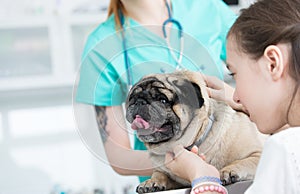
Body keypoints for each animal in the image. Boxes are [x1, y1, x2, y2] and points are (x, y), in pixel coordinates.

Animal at [125, 70, 264, 193]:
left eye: (162, 100)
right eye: (132, 98)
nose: (139, 101)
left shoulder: (257, 154)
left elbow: (243, 161)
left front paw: (228, 171)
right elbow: (159, 174)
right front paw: (151, 181)